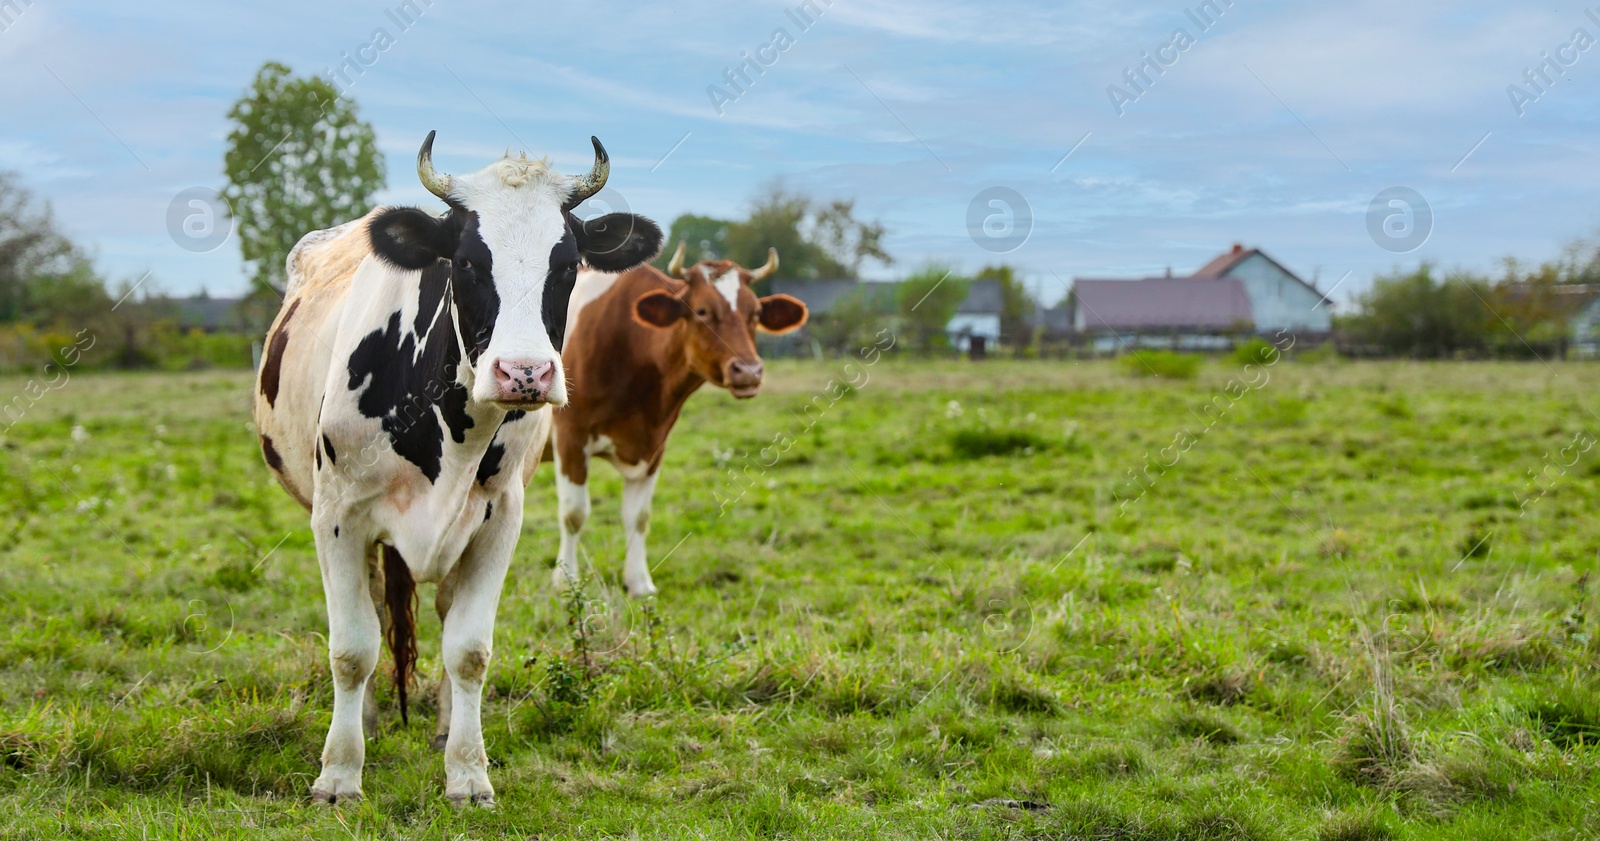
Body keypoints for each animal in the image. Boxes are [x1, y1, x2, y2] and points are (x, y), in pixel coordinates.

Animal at [254, 133, 662, 812]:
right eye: (467, 263)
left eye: (568, 265)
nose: (524, 373)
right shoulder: (336, 518)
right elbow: (351, 650)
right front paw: (338, 775)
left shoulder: (499, 520)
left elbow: (469, 651)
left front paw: (468, 774)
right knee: (375, 613)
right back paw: (368, 721)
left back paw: (445, 724)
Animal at [556, 243, 812, 601]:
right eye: (702, 311)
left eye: (756, 314)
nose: (748, 371)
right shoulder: (570, 436)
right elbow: (574, 513)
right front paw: (566, 581)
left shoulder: (655, 444)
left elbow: (638, 516)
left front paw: (639, 582)